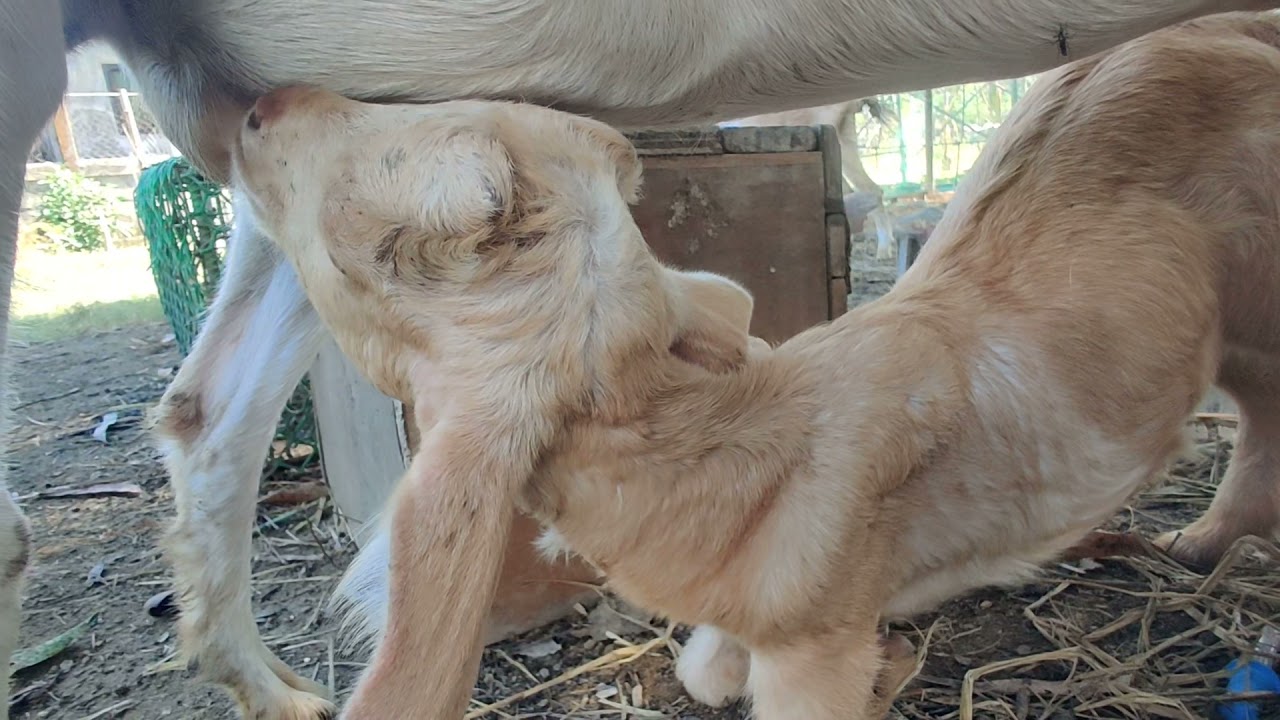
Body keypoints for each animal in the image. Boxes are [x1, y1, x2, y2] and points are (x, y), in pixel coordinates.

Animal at [3, 1, 1276, 717]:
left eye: (385, 241)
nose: (260, 109)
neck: (721, 453)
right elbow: (706, 673)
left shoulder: (810, 647)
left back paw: (1201, 543)